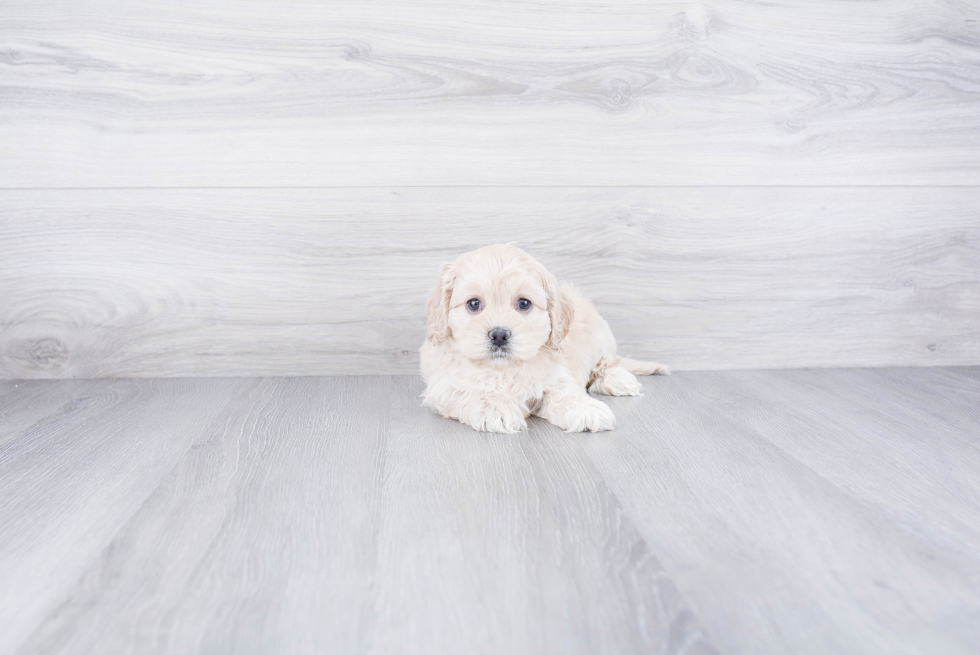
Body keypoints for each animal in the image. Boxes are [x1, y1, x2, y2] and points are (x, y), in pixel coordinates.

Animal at [418, 243, 668, 434]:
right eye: (473, 304)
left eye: (524, 303)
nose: (499, 335)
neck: (503, 369)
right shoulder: (443, 385)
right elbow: (471, 391)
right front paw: (495, 408)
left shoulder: (556, 375)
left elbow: (564, 392)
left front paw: (585, 409)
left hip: (600, 336)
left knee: (606, 363)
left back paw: (616, 379)